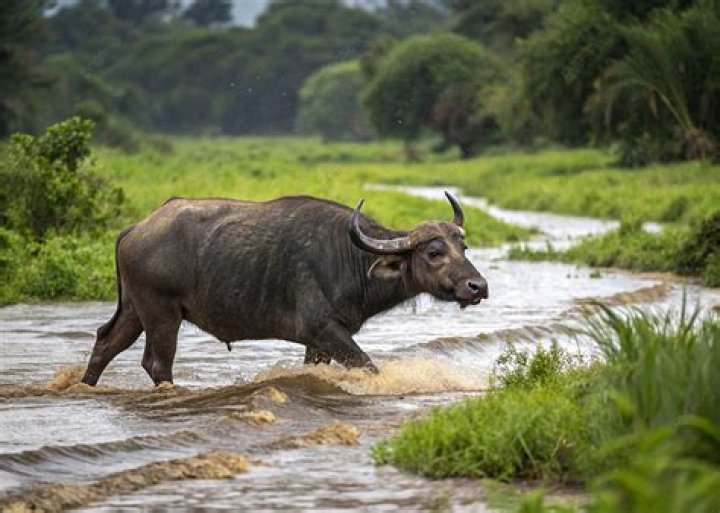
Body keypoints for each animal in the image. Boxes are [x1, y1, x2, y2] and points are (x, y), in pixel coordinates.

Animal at [82, 193, 488, 386]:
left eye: (463, 246)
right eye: (434, 252)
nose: (478, 286)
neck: (348, 257)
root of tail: (136, 228)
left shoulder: (320, 342)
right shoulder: (325, 330)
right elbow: (369, 367)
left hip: (135, 310)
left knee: (105, 342)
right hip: (161, 313)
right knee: (156, 363)